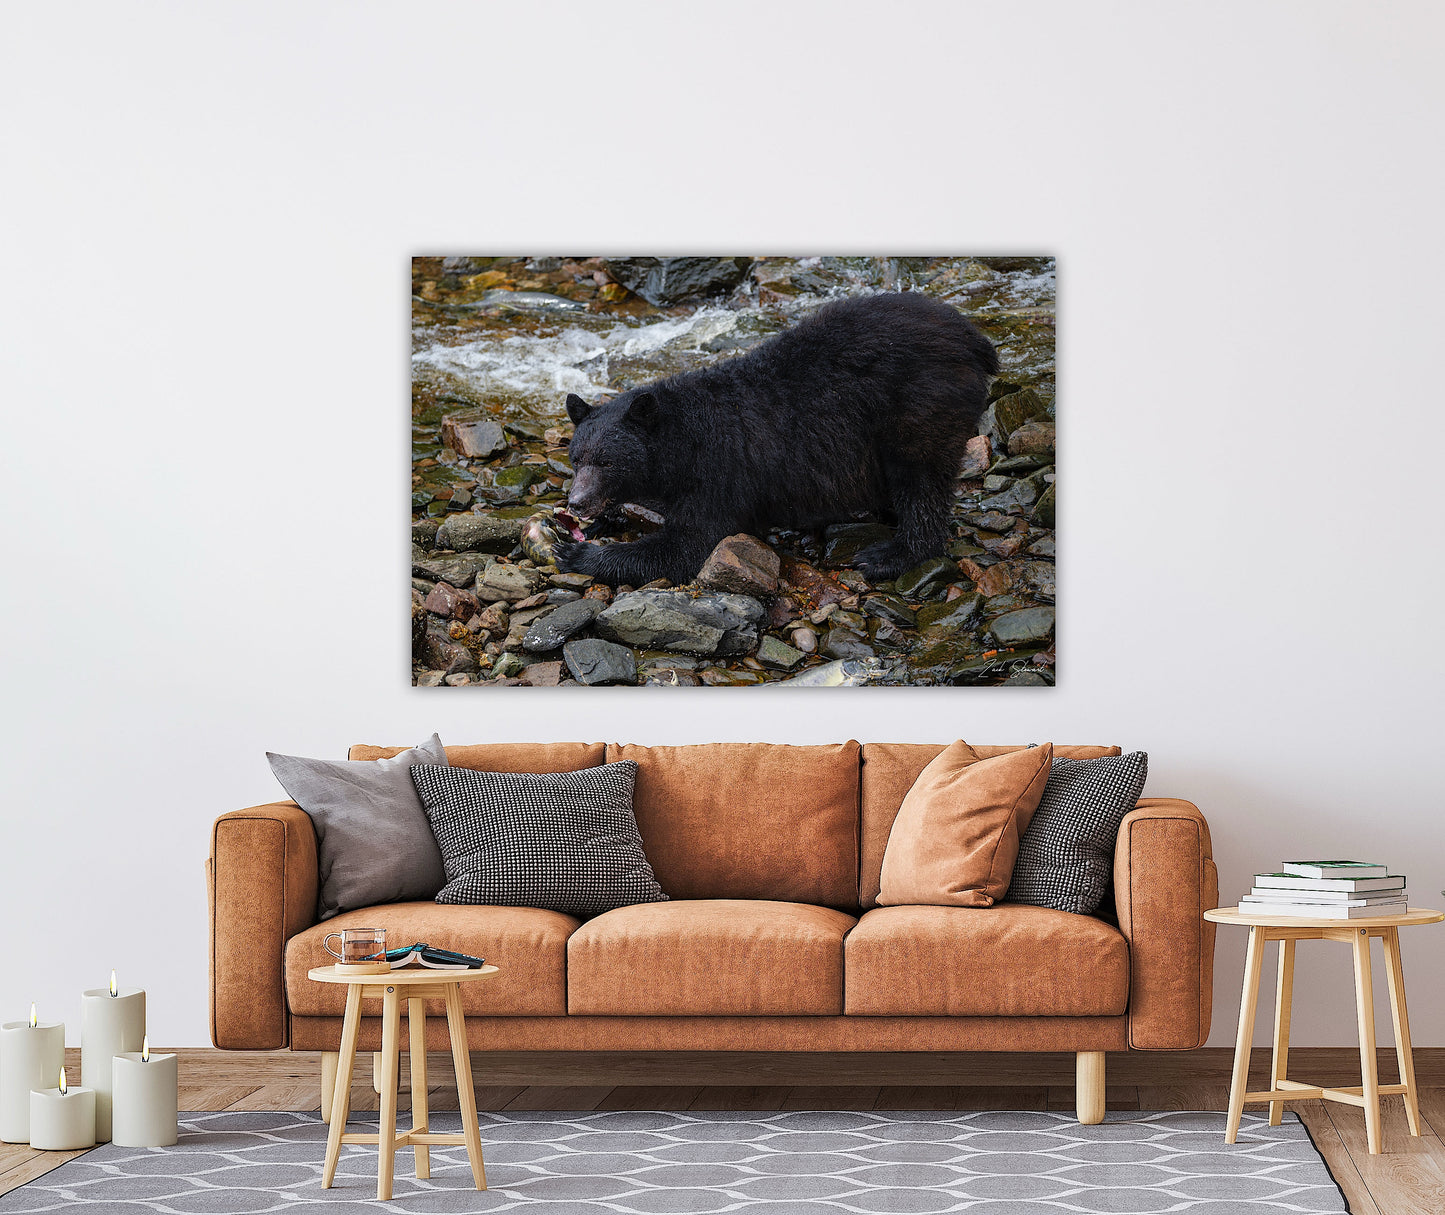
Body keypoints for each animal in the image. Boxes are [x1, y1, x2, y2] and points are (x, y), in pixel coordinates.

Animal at [555, 291, 999, 587]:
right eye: (577, 459)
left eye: (607, 461)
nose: (578, 502)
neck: (681, 445)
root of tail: (973, 338)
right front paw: (593, 523)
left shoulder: (718, 473)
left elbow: (689, 546)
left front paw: (576, 552)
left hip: (919, 406)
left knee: (920, 481)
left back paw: (890, 555)